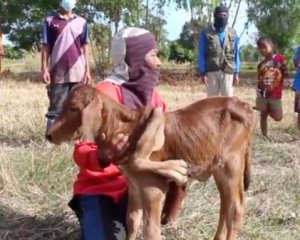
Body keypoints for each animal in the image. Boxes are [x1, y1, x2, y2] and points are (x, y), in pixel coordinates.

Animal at [46, 84, 255, 240]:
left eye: (74, 108)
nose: (49, 135)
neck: (125, 128)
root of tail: (244, 106)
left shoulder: (152, 189)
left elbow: (151, 231)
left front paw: (177, 170)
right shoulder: (134, 187)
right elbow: (132, 221)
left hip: (231, 165)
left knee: (236, 207)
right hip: (221, 170)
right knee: (225, 206)